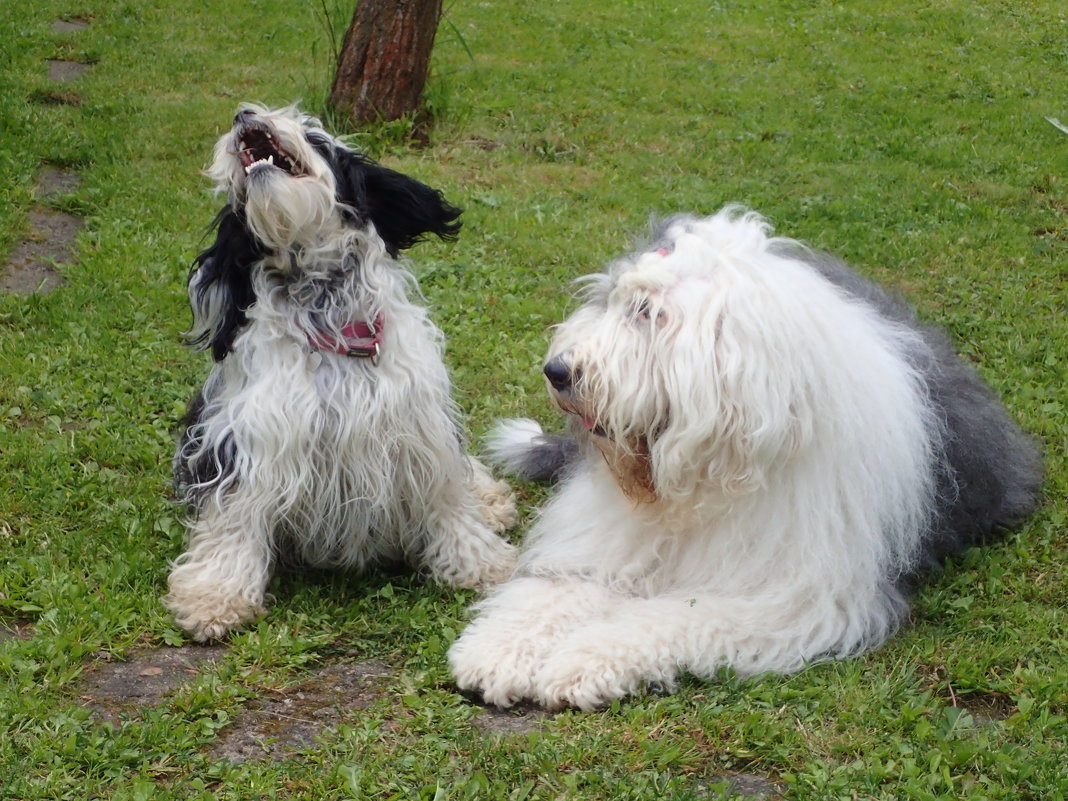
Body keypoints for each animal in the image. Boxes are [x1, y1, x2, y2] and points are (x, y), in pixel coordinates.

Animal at [165, 105, 516, 645]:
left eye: (314, 134)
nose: (244, 114)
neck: (327, 315)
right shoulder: (251, 439)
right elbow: (233, 520)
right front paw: (214, 596)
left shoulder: (420, 432)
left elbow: (449, 498)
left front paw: (480, 563)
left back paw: (492, 499)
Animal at [446, 205, 1038, 709]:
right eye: (610, 301)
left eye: (648, 312)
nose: (558, 371)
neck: (702, 479)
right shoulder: (608, 541)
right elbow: (555, 592)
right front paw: (499, 651)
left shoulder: (792, 597)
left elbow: (673, 618)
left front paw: (582, 662)